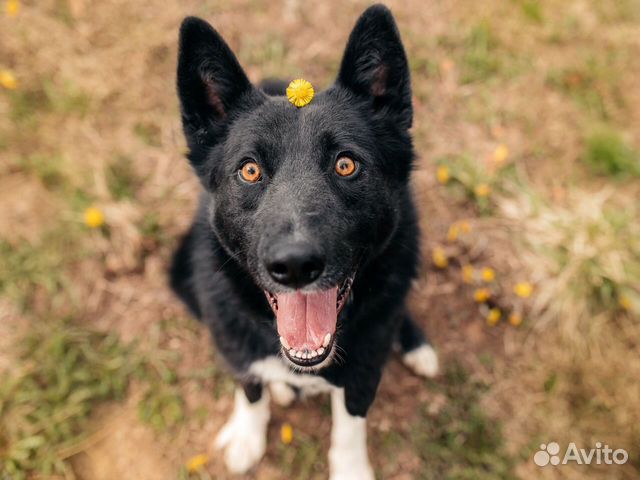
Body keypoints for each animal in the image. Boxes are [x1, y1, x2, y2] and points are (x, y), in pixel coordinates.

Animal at [170, 3, 440, 476]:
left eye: (346, 165)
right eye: (250, 170)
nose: (295, 265)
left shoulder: (364, 369)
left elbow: (350, 426)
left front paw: (351, 470)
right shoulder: (234, 343)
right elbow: (250, 385)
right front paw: (248, 435)